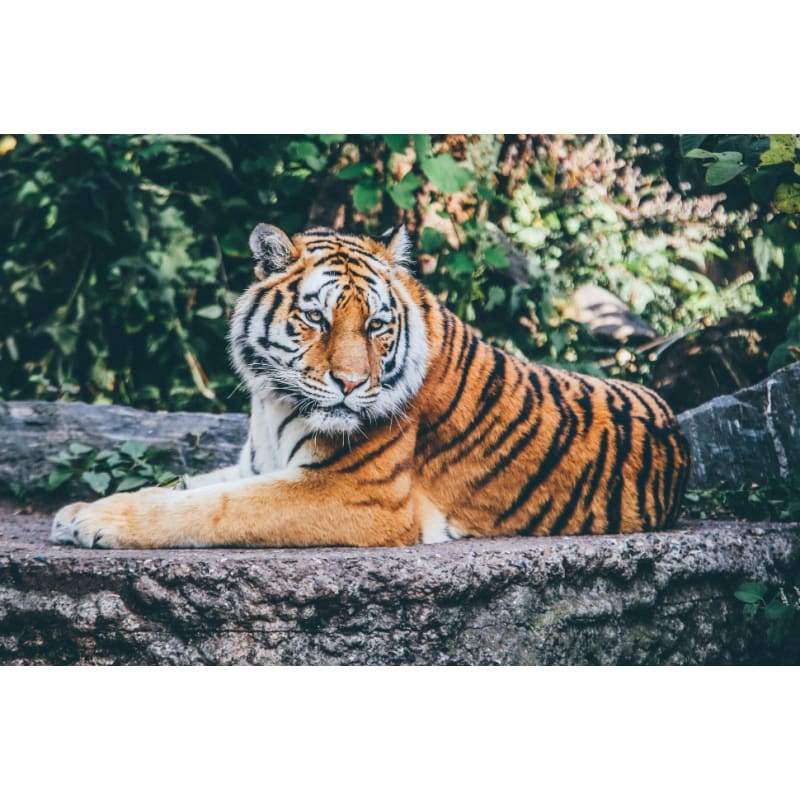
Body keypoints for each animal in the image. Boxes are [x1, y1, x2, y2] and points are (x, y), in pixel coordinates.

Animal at [50, 223, 690, 549]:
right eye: (317, 319)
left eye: (377, 325)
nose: (352, 383)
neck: (271, 401)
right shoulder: (256, 463)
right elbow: (185, 485)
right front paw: (79, 509)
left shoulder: (356, 493)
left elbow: (213, 508)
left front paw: (96, 523)